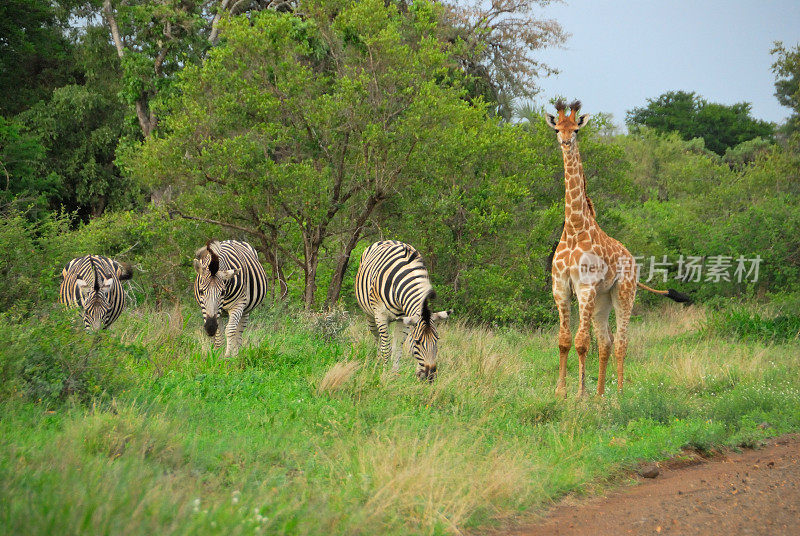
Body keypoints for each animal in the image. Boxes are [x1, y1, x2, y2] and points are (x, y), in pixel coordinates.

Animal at [354, 239, 450, 382]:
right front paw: (384, 374)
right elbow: (386, 349)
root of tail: (387, 240)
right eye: (417, 342)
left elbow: (397, 348)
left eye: (437, 340)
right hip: (371, 315)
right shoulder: (381, 315)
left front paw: (394, 375)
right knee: (377, 339)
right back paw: (377, 363)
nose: (430, 377)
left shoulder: (404, 319)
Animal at [548, 99, 692, 398]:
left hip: (624, 293)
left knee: (622, 341)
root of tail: (632, 260)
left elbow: (581, 342)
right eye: (557, 128)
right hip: (603, 299)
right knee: (606, 340)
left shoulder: (585, 288)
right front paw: (562, 392)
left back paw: (619, 394)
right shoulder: (560, 287)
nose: (565, 142)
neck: (575, 229)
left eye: (576, 130)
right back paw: (601, 394)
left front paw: (579, 394)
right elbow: (564, 340)